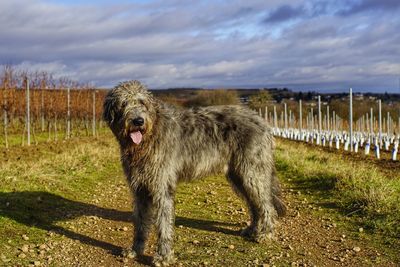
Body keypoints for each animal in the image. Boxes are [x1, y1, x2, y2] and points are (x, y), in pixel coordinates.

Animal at [103, 80, 284, 266]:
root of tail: (262, 121)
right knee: (255, 204)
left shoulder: (162, 187)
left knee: (266, 205)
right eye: (124, 103)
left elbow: (163, 224)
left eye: (142, 103)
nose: (138, 121)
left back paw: (265, 233)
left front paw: (163, 256)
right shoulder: (139, 188)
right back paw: (253, 229)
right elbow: (140, 222)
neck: (149, 137)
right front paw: (135, 249)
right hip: (239, 175)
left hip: (252, 172)